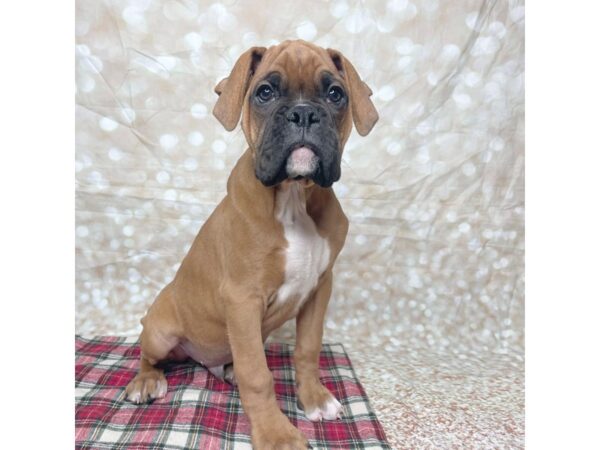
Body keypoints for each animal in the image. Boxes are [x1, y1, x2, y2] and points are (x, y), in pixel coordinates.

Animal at [125, 40, 380, 448]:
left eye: (335, 94)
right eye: (265, 92)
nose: (304, 113)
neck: (293, 196)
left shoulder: (319, 289)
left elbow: (307, 349)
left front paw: (314, 398)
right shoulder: (243, 300)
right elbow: (258, 376)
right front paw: (276, 434)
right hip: (160, 332)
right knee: (148, 354)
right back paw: (146, 381)